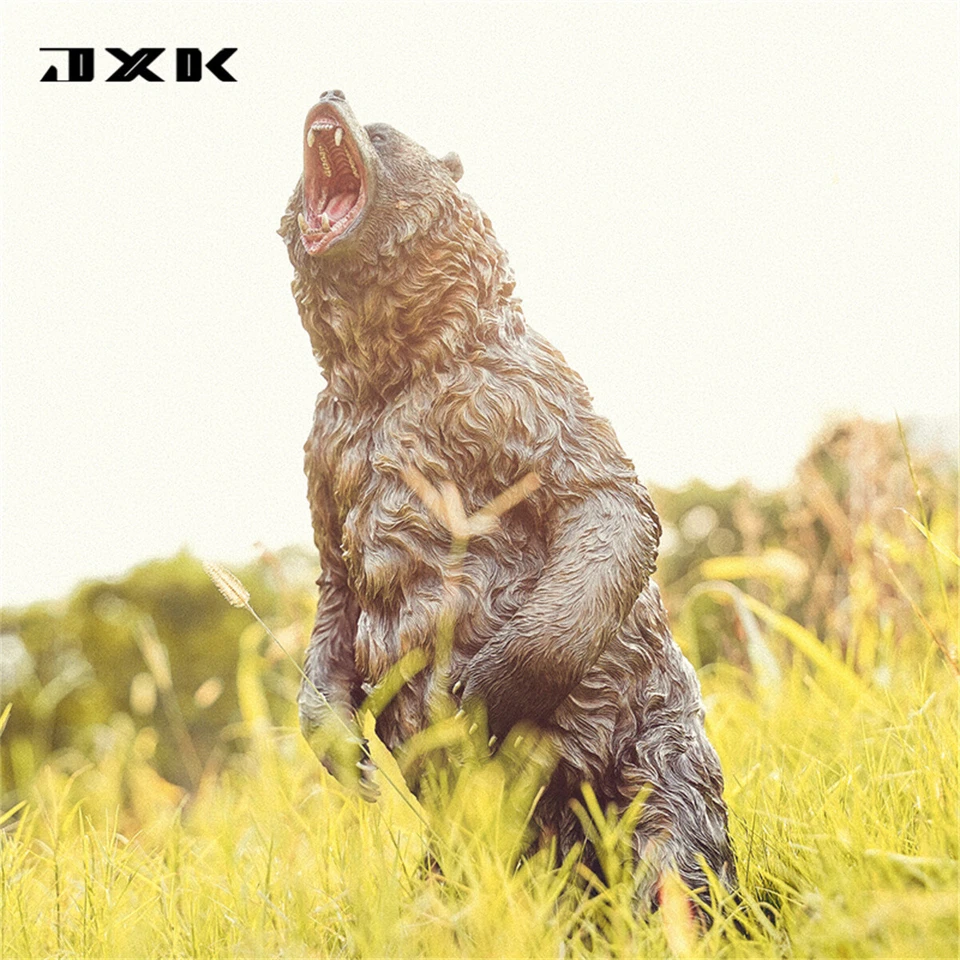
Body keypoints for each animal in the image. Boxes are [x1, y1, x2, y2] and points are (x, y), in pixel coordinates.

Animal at [278, 89, 736, 908]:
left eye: (384, 133)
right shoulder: (324, 452)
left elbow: (608, 502)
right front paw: (345, 753)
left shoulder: (521, 388)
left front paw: (479, 688)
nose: (329, 96)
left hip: (657, 749)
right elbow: (335, 587)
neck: (392, 381)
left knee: (675, 851)